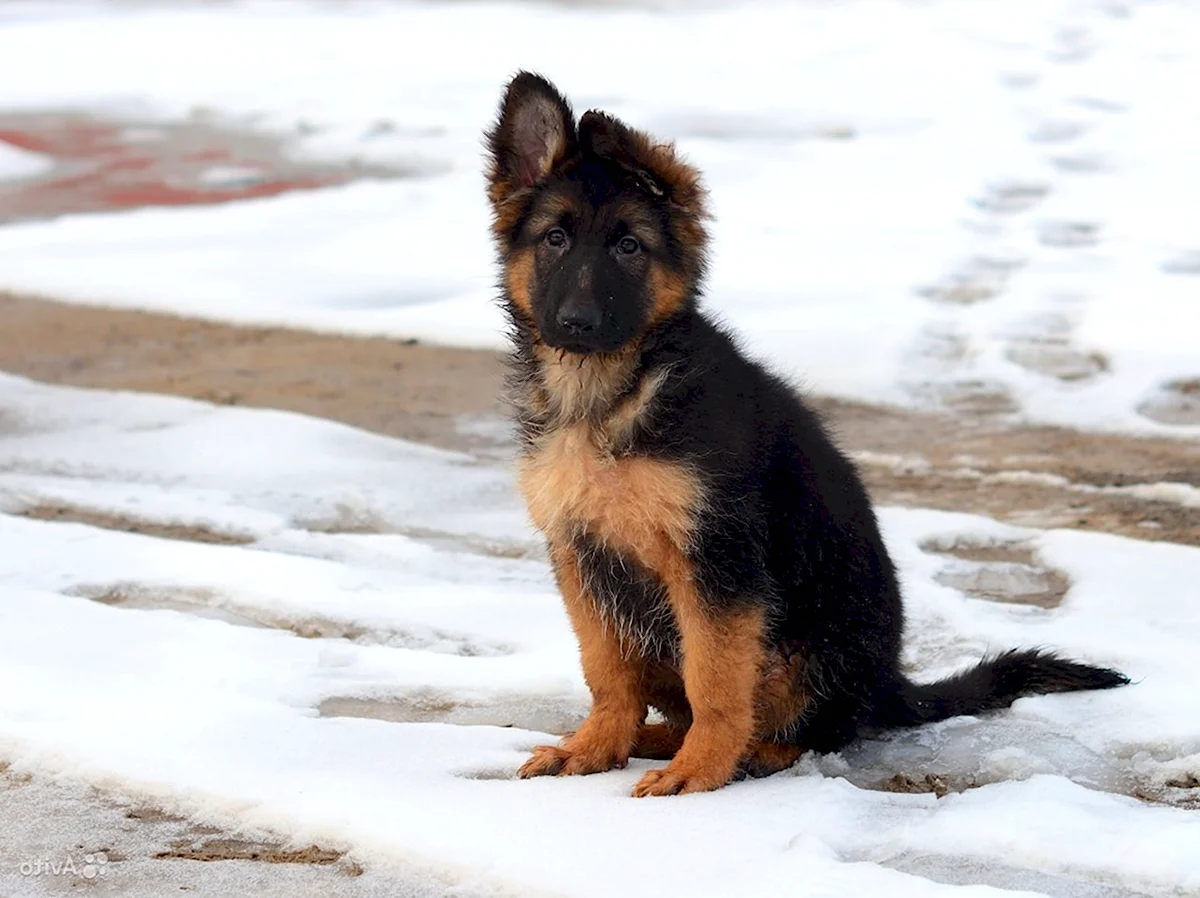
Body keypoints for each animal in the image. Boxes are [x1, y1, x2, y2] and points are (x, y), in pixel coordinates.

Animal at [484, 73, 1123, 797]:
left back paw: (752, 752)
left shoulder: (720, 563)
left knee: (819, 728)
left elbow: (715, 681)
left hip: (815, 643)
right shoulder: (581, 556)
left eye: (629, 247)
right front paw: (594, 748)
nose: (577, 322)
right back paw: (655, 740)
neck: (613, 394)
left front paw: (699, 772)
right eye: (554, 239)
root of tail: (890, 685)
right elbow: (608, 673)